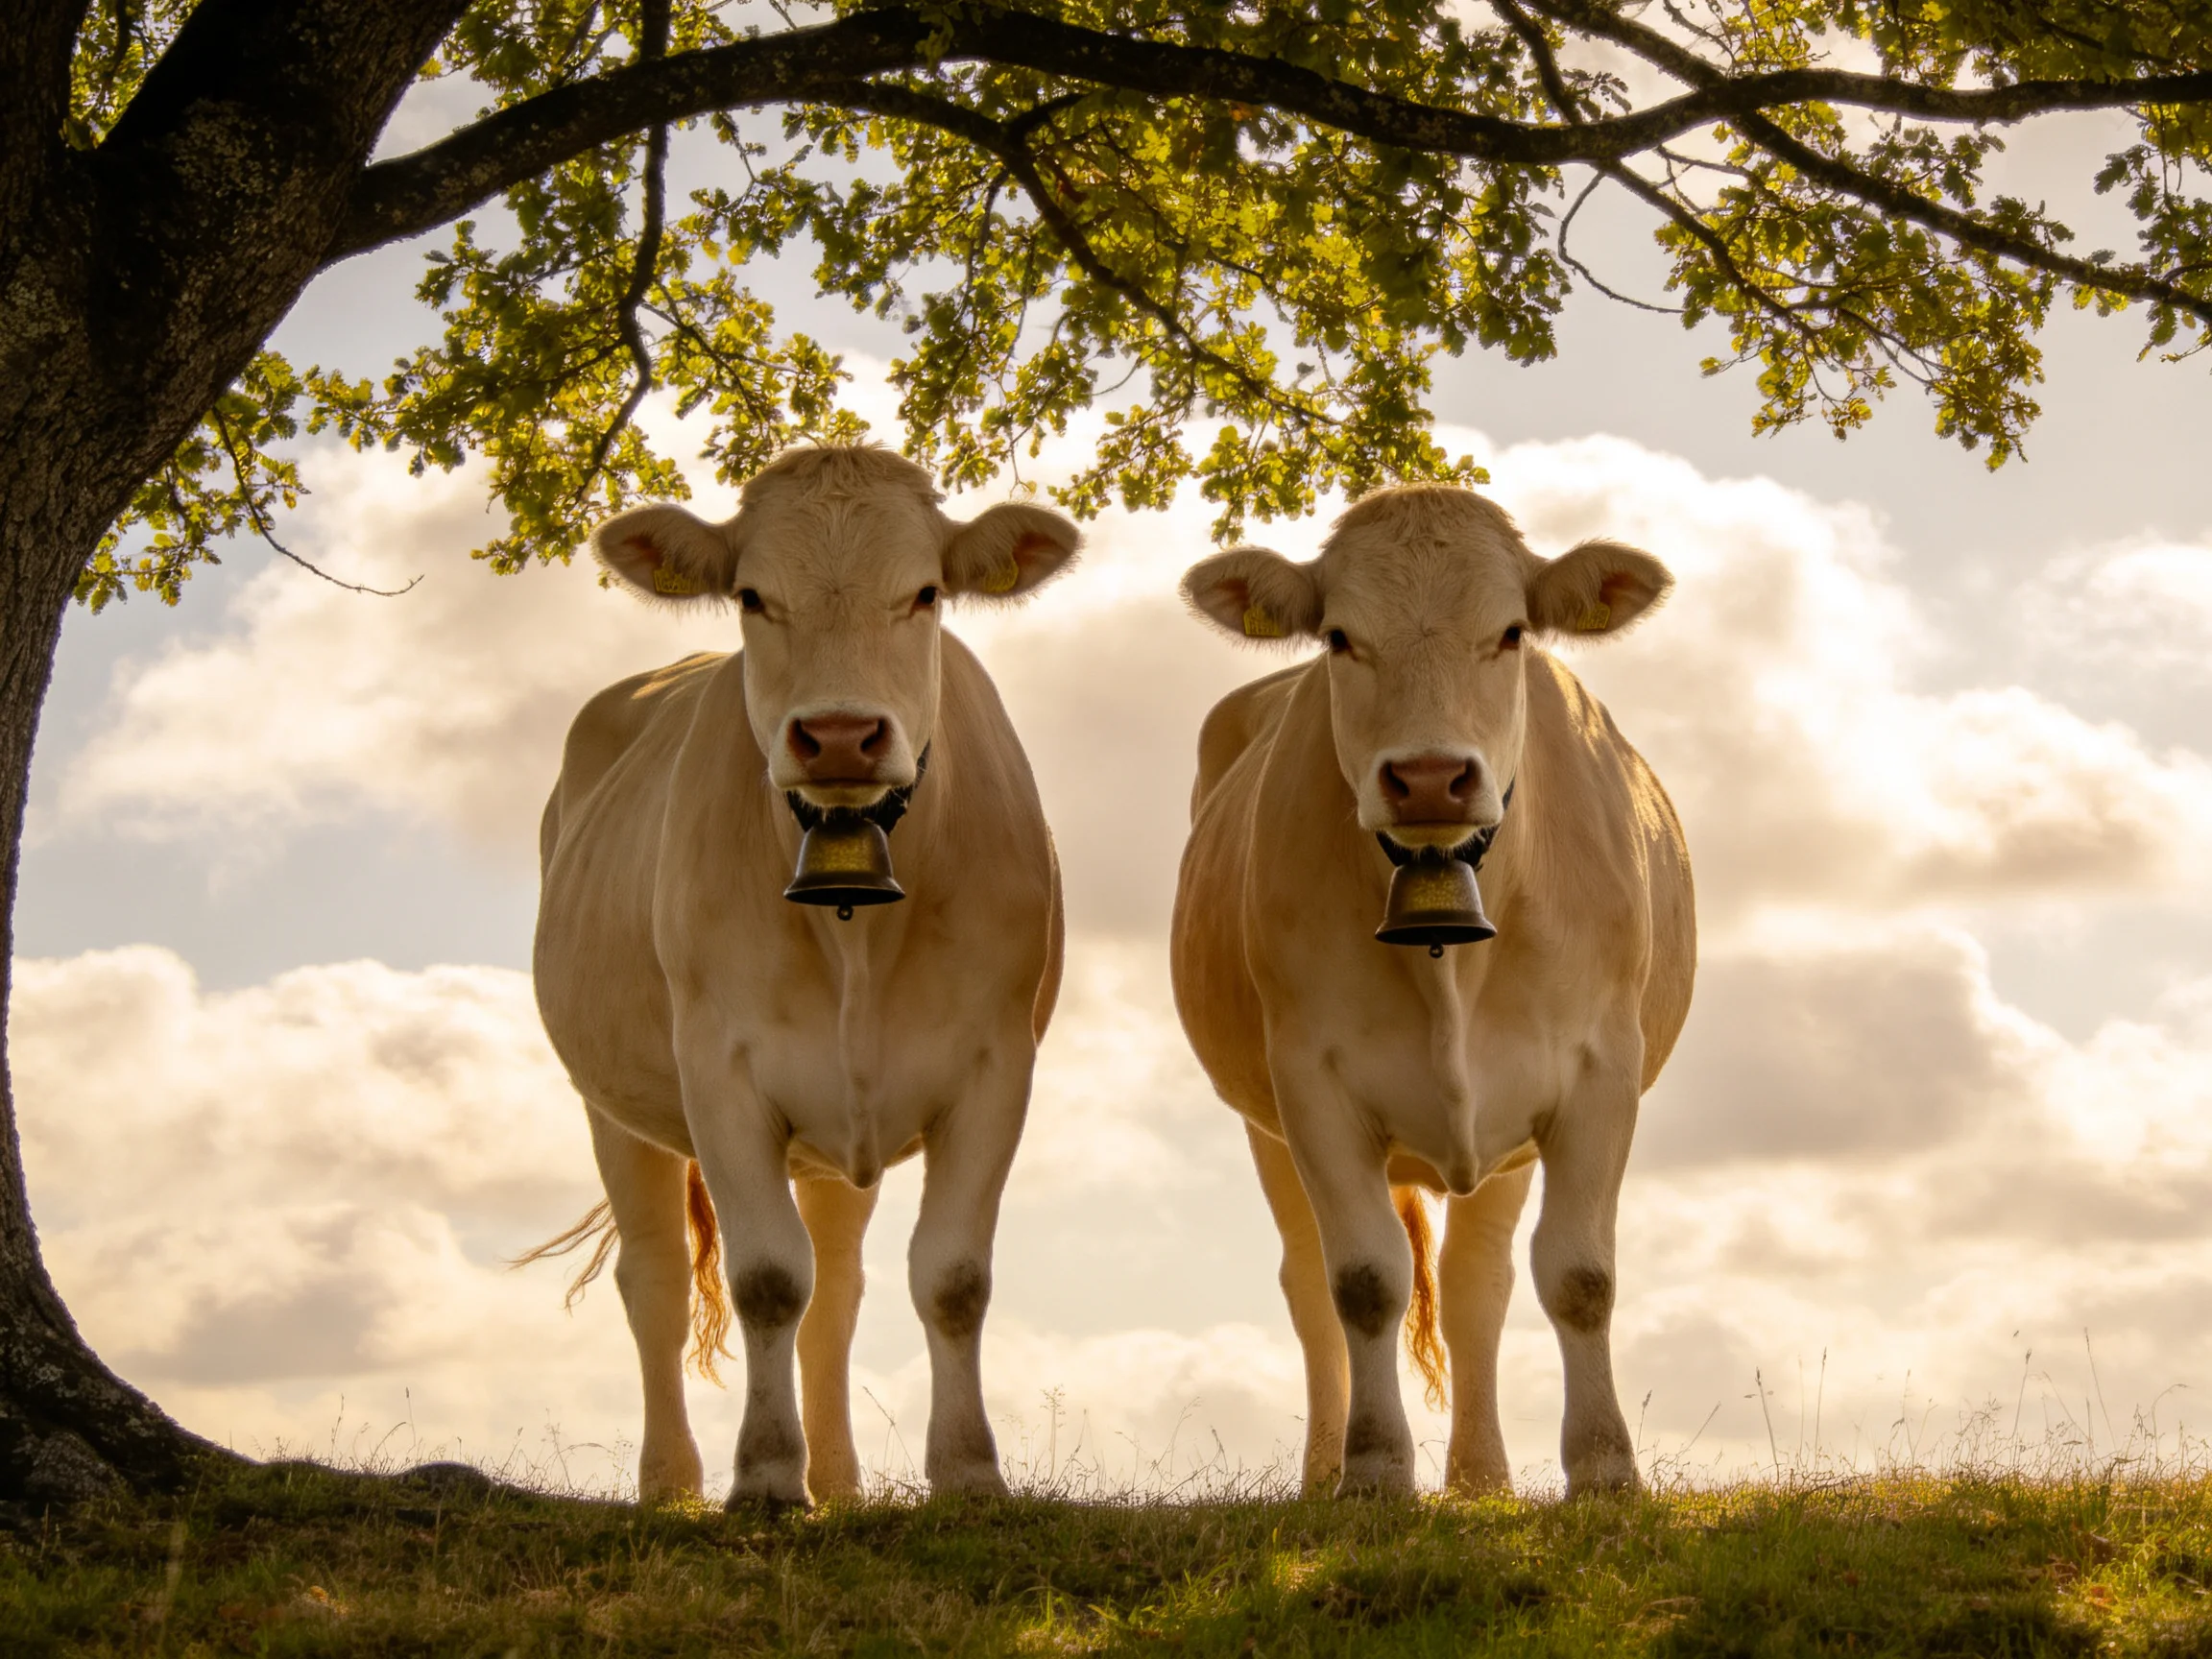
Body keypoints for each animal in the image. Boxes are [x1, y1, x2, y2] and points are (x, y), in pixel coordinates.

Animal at [529, 445, 1079, 1508]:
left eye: (925, 592)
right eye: (752, 595)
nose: (837, 736)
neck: (852, 922)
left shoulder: (995, 1068)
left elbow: (950, 1278)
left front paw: (967, 1472)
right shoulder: (720, 1070)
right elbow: (767, 1279)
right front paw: (767, 1477)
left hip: (834, 1138)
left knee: (841, 1289)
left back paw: (844, 1483)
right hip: (612, 1106)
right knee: (657, 1282)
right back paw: (672, 1483)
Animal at [1170, 484, 1694, 1498]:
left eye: (1512, 632)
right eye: (1339, 637)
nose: (1426, 778)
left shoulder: (1598, 1073)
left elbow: (1579, 1276)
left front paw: (1605, 1467)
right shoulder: (1310, 1082)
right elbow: (1363, 1281)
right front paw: (1373, 1471)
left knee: (1474, 1286)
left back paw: (1481, 1477)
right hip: (1264, 1126)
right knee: (1311, 1285)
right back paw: (1323, 1475)